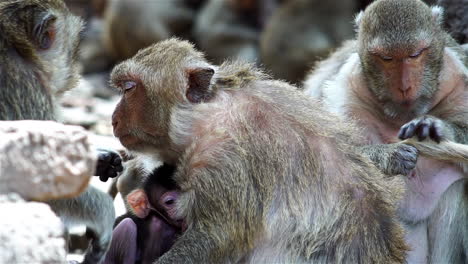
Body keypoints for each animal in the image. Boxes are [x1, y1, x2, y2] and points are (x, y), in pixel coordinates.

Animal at [109, 38, 414, 262]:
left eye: (129, 88)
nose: (113, 119)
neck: (203, 114)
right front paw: (392, 156)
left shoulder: (223, 159)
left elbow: (213, 238)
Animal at [304, 1, 468, 262]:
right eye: (387, 58)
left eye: (415, 54)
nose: (404, 86)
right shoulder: (347, 88)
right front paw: (392, 156)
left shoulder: (459, 76)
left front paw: (435, 128)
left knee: (453, 189)